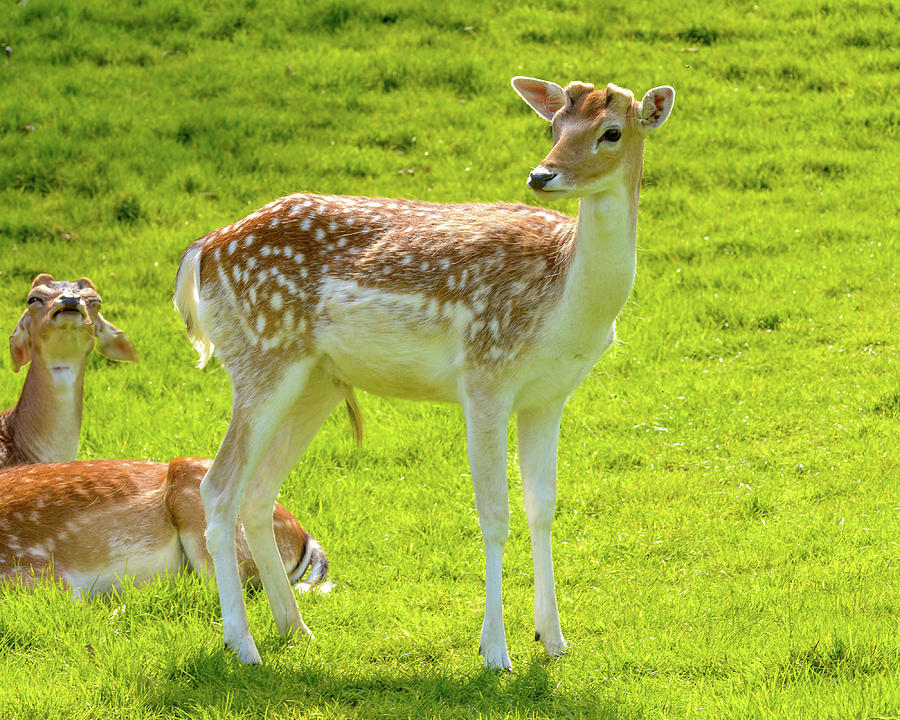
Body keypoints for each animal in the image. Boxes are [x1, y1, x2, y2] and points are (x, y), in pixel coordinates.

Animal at [176, 76, 676, 668]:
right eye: (554, 127)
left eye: (611, 132)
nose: (542, 175)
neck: (563, 304)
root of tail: (201, 252)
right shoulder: (485, 375)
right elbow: (495, 513)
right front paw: (495, 652)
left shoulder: (548, 395)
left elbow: (543, 507)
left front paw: (553, 640)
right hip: (261, 357)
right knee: (217, 487)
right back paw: (243, 643)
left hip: (316, 381)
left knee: (257, 491)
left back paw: (295, 628)